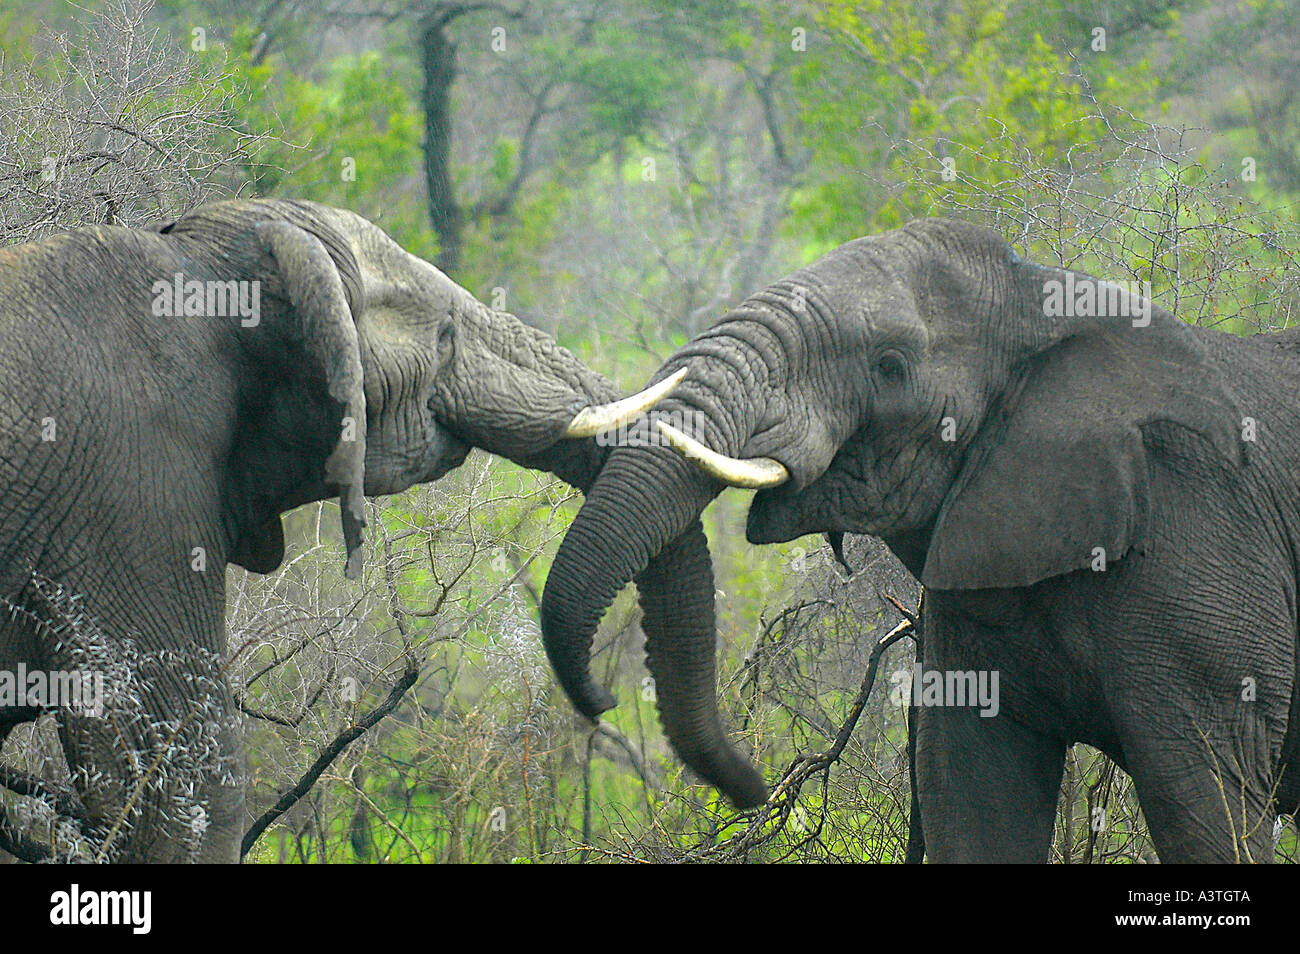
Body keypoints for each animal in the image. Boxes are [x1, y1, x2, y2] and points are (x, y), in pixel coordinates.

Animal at [539, 216, 1300, 863]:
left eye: (890, 366)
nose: (755, 791)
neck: (1046, 301)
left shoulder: (1201, 543)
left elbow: (1205, 804)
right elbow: (972, 792)